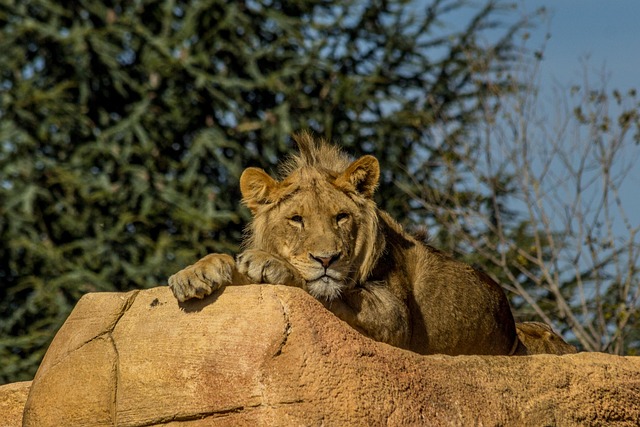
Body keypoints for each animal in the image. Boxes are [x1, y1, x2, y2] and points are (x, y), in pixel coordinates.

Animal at [169, 132, 575, 356]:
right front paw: (195, 273)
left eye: (341, 217)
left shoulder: (395, 317)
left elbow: (327, 289)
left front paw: (274, 266)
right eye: (296, 219)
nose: (327, 258)